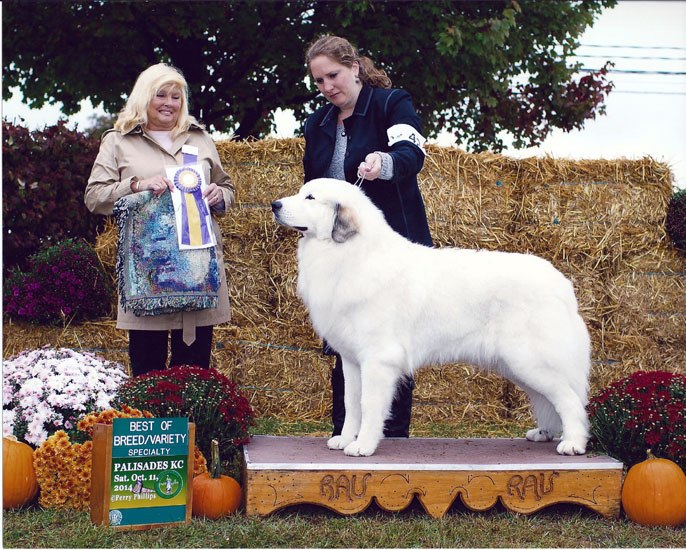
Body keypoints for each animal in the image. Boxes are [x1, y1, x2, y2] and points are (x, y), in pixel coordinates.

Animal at [272, 179, 592, 460]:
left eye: (310, 197)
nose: (274, 205)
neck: (351, 254)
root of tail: (562, 285)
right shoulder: (351, 361)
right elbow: (351, 404)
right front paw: (345, 438)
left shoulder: (378, 360)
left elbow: (370, 405)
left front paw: (363, 445)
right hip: (518, 367)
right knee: (548, 400)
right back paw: (545, 433)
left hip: (531, 361)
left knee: (570, 401)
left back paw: (573, 443)